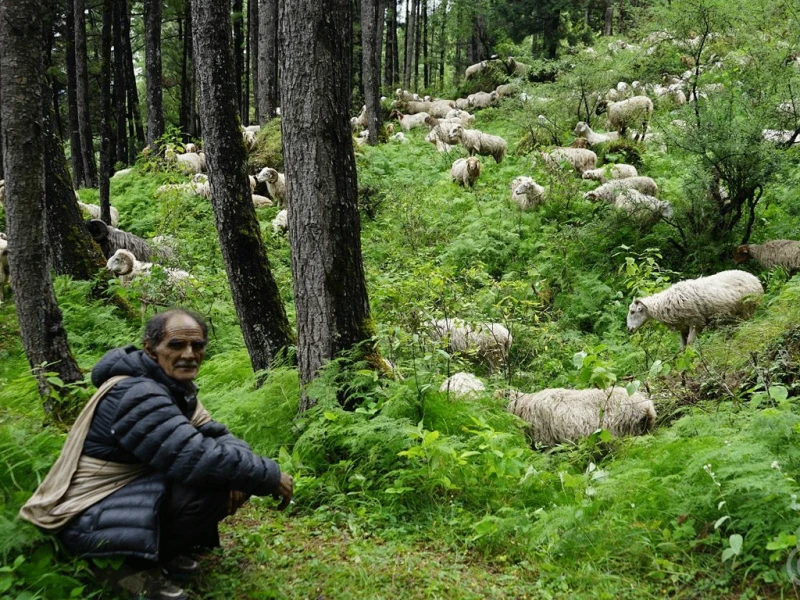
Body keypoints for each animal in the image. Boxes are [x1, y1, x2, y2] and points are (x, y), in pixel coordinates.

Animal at [624, 268, 764, 346]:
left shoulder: (695, 322)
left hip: (748, 309)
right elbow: (682, 347)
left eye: (632, 312)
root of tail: (755, 278)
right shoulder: (683, 327)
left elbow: (690, 344)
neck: (664, 303)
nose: (629, 329)